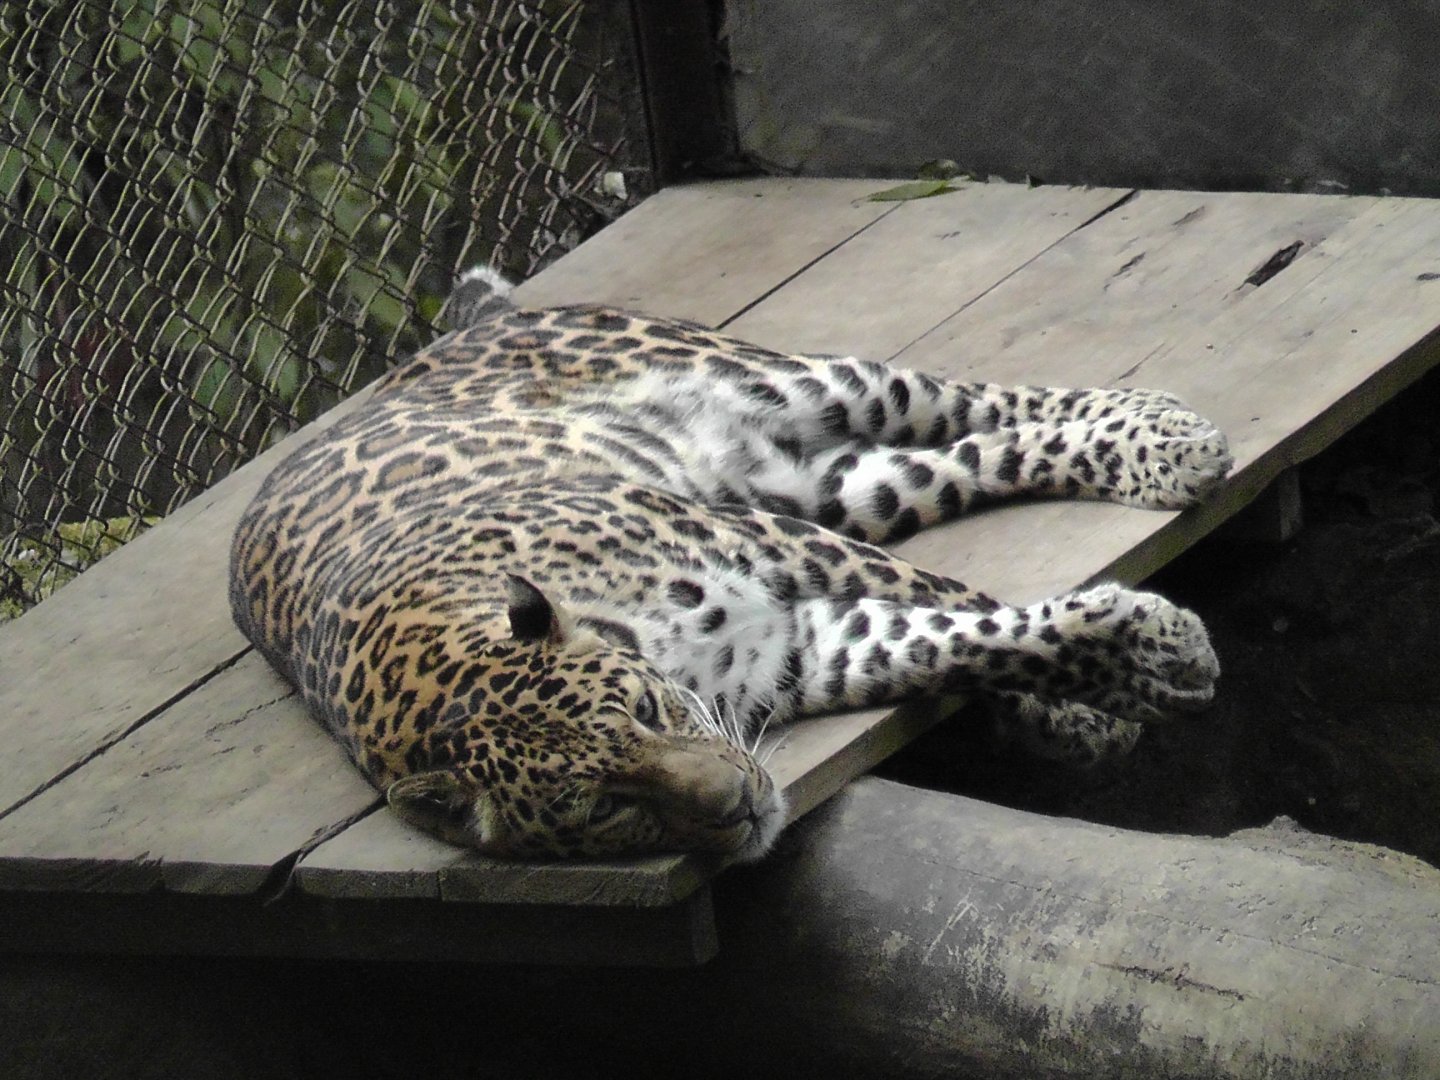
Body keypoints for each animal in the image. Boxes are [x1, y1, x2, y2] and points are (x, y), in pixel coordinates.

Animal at [229, 267, 1231, 865]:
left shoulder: (786, 553)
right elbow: (962, 646)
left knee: (979, 399)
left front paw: (1111, 693)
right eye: (602, 807)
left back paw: (1164, 435)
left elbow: (966, 606)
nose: (742, 803)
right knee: (975, 456)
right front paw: (1116, 681)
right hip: (842, 485)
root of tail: (448, 338)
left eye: (641, 712)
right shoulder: (805, 645)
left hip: (798, 388)